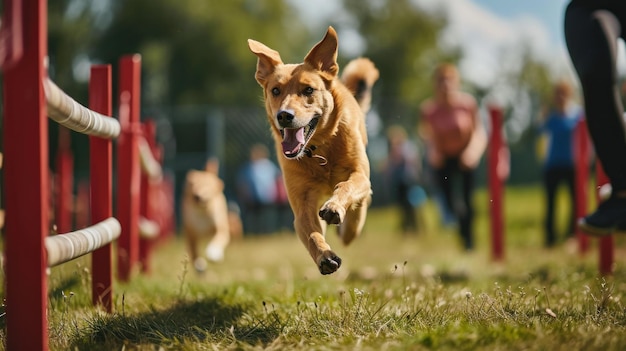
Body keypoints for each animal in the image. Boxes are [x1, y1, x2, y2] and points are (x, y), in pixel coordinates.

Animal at [247, 26, 376, 276]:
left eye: (308, 90)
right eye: (275, 90)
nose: (284, 115)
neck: (320, 149)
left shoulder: (359, 175)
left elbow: (347, 186)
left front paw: (335, 207)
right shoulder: (302, 203)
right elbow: (311, 234)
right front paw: (324, 256)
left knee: (356, 219)